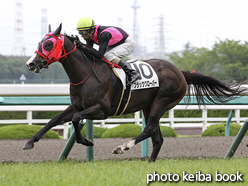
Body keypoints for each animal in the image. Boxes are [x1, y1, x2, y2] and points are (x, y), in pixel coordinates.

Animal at [24, 24, 247, 162]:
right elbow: (54, 120)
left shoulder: (101, 110)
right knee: (157, 137)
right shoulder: (76, 106)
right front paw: (29, 142)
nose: (31, 64)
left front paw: (87, 141)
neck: (86, 73)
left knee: (149, 129)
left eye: (48, 44)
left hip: (162, 101)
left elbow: (77, 119)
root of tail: (180, 72)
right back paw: (150, 162)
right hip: (149, 106)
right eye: (40, 42)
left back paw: (122, 147)